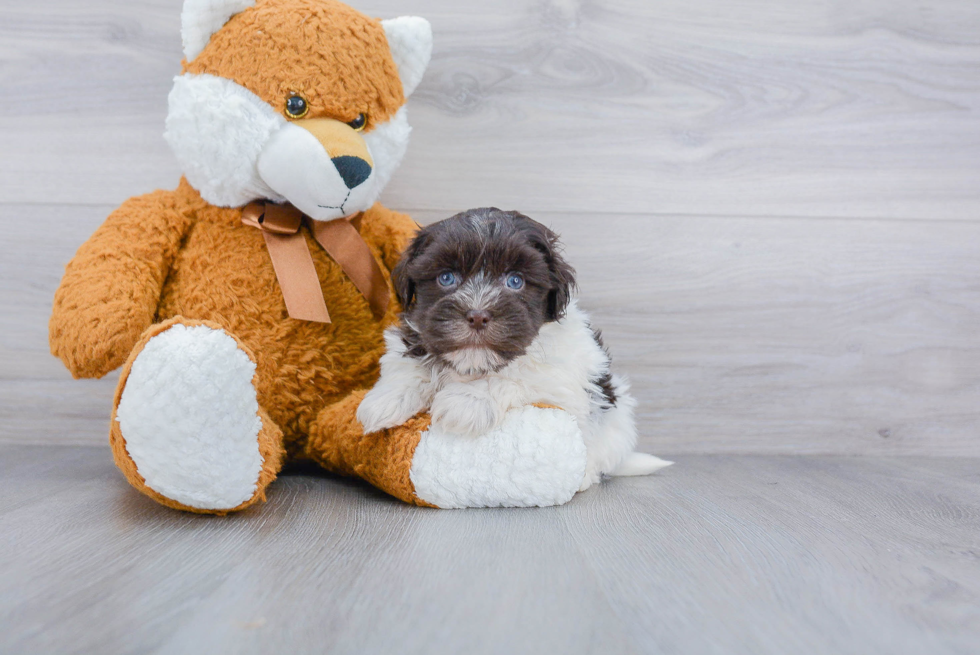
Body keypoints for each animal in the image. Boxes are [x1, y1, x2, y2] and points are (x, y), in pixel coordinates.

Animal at [356, 208, 668, 490]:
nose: (477, 315)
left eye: (515, 281)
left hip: (613, 421)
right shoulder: (419, 336)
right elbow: (409, 362)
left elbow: (518, 374)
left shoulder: (560, 380)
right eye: (446, 278)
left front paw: (468, 400)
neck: (474, 363)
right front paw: (385, 399)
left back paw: (585, 477)